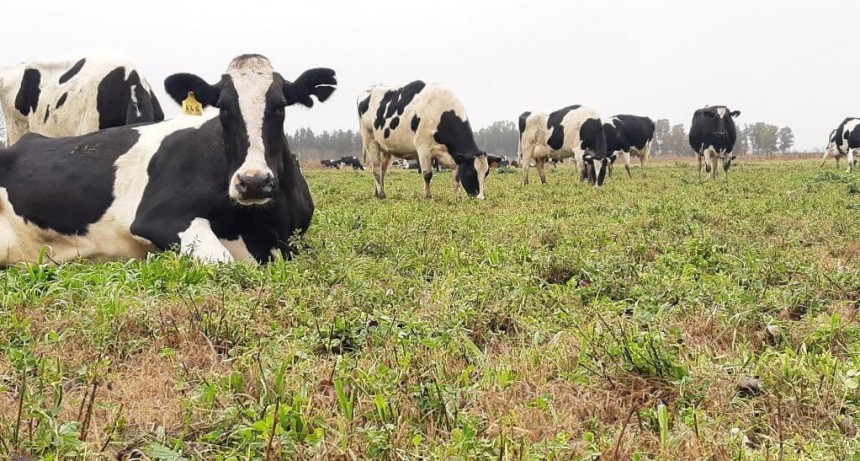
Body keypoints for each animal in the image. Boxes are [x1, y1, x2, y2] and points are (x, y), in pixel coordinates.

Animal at [358, 81, 493, 199]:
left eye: (486, 173)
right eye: (471, 172)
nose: (480, 197)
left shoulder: (452, 155)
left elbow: (456, 175)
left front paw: (458, 197)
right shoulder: (423, 148)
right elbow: (427, 174)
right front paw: (427, 196)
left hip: (385, 148)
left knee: (383, 170)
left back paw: (378, 192)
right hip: (369, 139)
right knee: (376, 168)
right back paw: (381, 195)